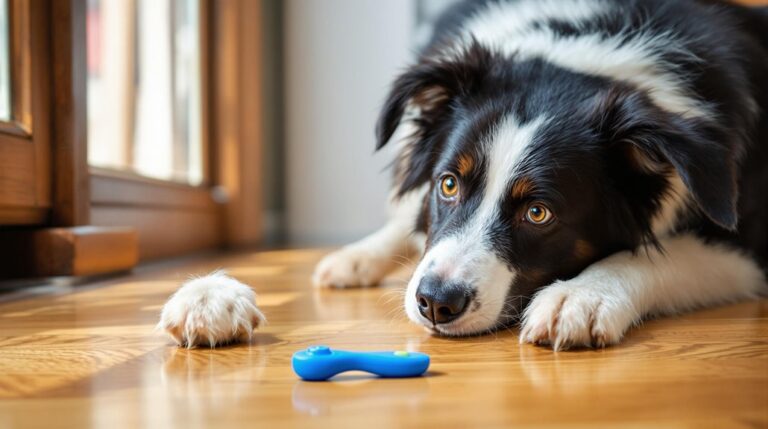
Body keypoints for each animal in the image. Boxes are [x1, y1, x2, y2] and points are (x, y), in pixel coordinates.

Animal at [159, 0, 764, 348]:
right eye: (449, 184)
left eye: (538, 212)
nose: (435, 303)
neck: (588, 55)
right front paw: (210, 297)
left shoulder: (747, 238)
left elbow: (658, 255)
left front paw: (581, 297)